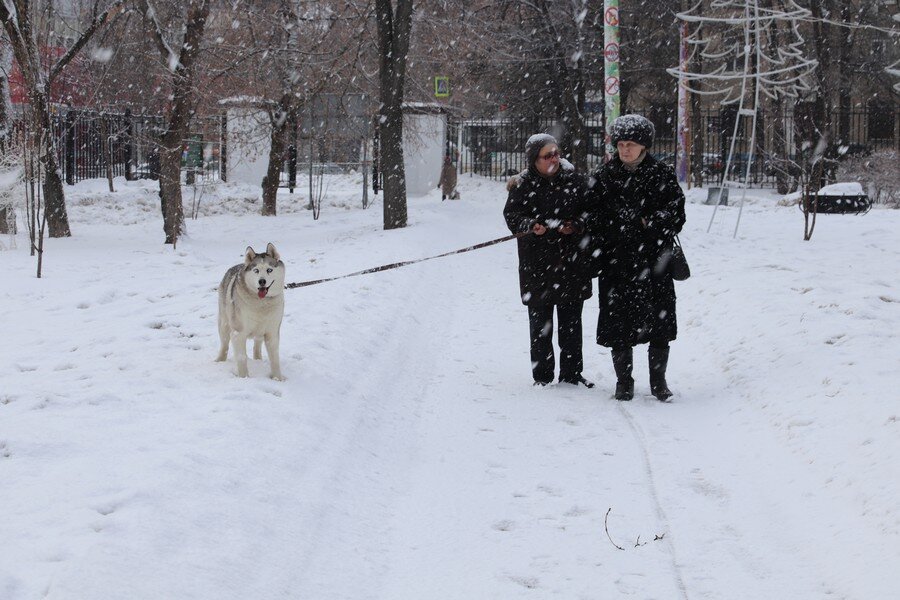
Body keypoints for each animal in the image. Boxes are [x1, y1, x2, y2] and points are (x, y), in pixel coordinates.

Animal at [217, 243, 284, 380]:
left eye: (269, 270)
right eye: (256, 270)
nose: (262, 281)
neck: (262, 303)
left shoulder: (272, 333)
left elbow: (275, 359)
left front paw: (277, 379)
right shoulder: (238, 333)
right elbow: (241, 358)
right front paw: (244, 379)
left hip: (260, 331)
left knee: (257, 344)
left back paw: (258, 359)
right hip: (224, 324)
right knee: (224, 344)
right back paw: (219, 360)